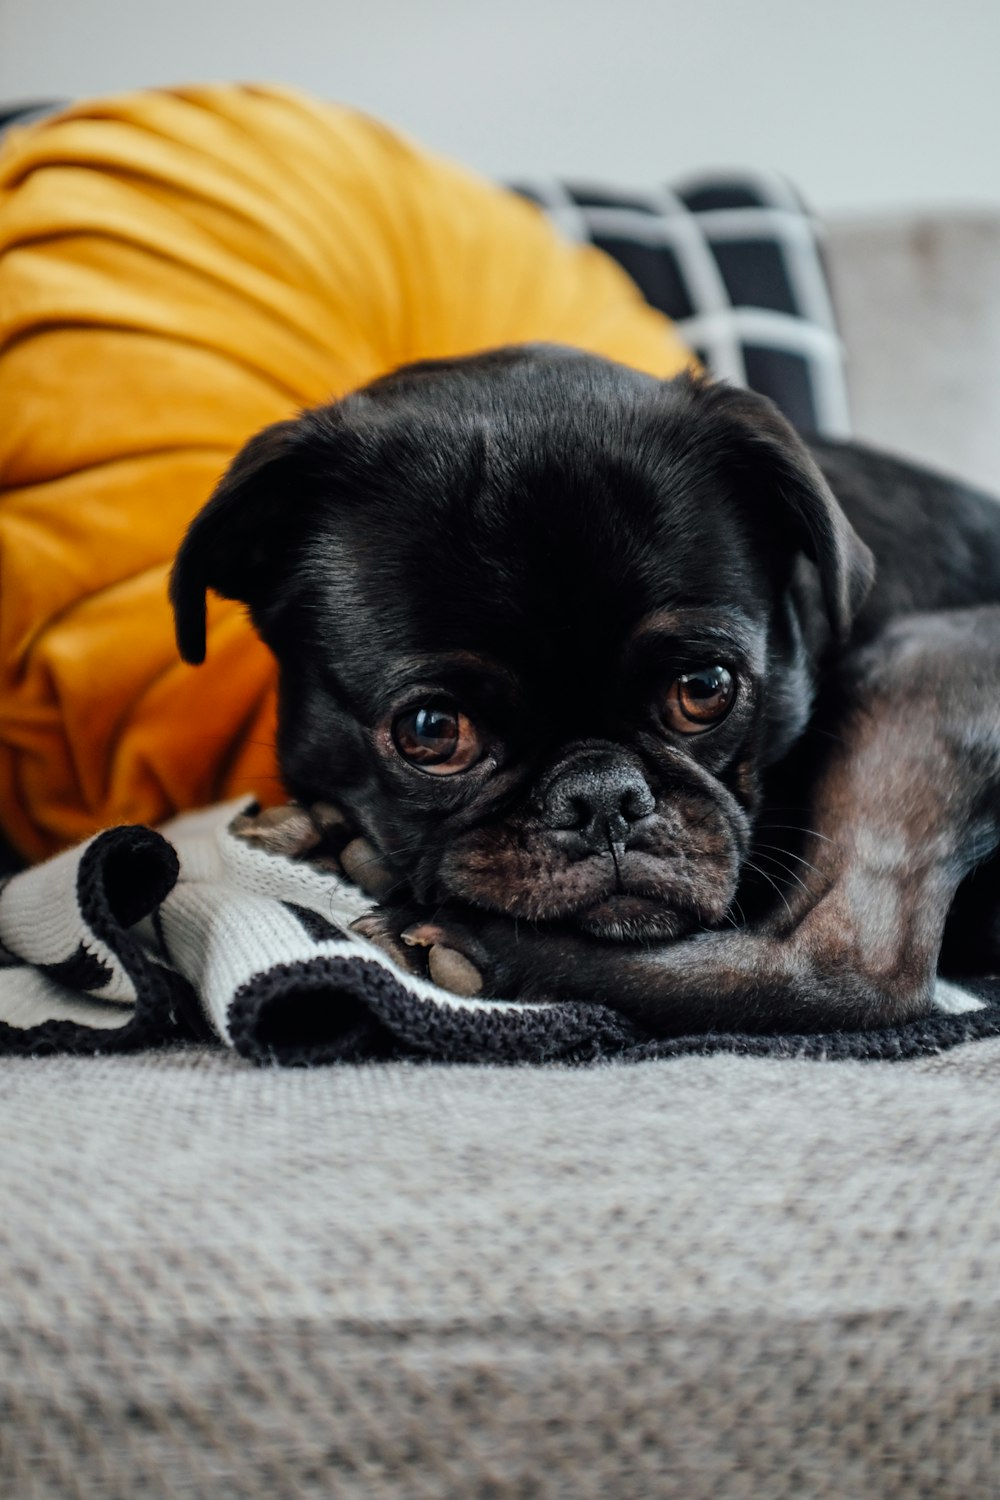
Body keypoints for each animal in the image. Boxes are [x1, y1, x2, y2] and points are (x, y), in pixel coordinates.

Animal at [167, 346, 1000, 1038]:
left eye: (704, 689)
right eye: (433, 730)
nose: (603, 795)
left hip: (922, 665)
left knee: (851, 965)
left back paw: (474, 943)